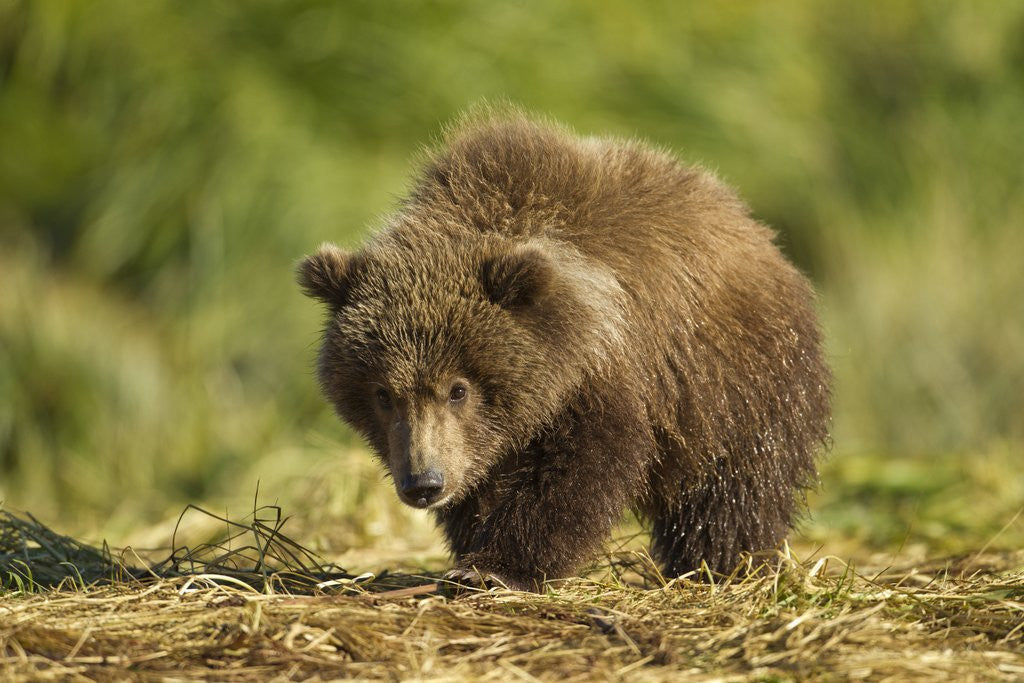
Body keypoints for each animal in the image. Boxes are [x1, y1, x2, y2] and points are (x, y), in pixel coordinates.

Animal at [298, 111, 831, 590]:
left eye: (457, 389)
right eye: (383, 394)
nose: (424, 483)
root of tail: (757, 230)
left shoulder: (601, 373)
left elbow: (575, 474)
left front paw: (497, 568)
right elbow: (481, 487)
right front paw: (471, 549)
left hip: (733, 377)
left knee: (733, 482)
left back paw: (720, 563)